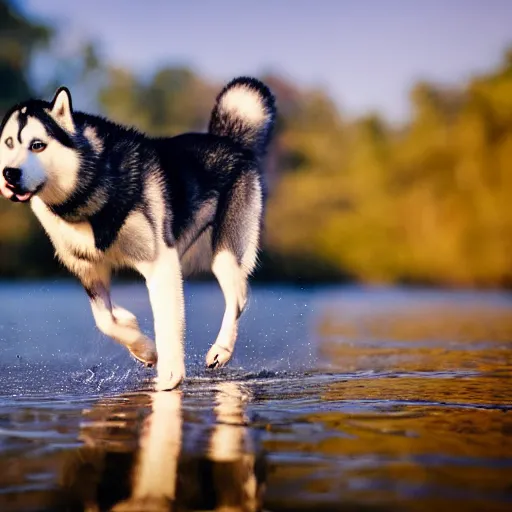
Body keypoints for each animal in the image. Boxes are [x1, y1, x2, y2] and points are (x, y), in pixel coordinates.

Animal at [0, 76, 276, 390]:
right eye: (9, 143)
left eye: (37, 145)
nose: (9, 174)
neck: (89, 194)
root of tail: (230, 140)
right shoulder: (88, 269)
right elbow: (105, 320)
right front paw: (143, 346)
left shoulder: (161, 264)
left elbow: (166, 322)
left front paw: (170, 375)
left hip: (225, 255)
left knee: (239, 296)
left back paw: (221, 350)